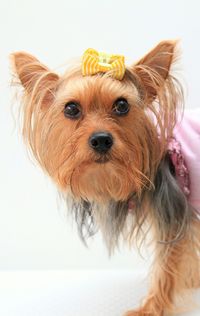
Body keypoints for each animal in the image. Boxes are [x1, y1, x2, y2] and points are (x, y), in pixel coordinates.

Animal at [11, 40, 199, 314]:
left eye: (122, 105)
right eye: (71, 108)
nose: (101, 139)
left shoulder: (172, 216)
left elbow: (167, 266)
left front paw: (150, 308)